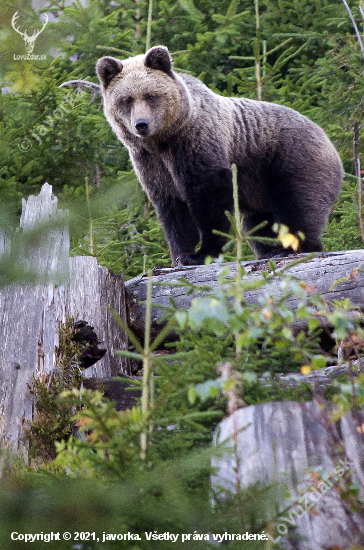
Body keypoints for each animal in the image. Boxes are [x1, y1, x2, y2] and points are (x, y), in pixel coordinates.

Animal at [95, 46, 342, 266]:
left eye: (151, 96)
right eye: (126, 100)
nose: (141, 124)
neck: (164, 141)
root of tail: (329, 140)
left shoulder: (196, 145)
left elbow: (209, 197)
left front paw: (201, 253)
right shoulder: (150, 163)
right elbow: (171, 208)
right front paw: (179, 255)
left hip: (291, 160)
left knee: (297, 206)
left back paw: (292, 248)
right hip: (258, 189)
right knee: (258, 222)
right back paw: (269, 250)